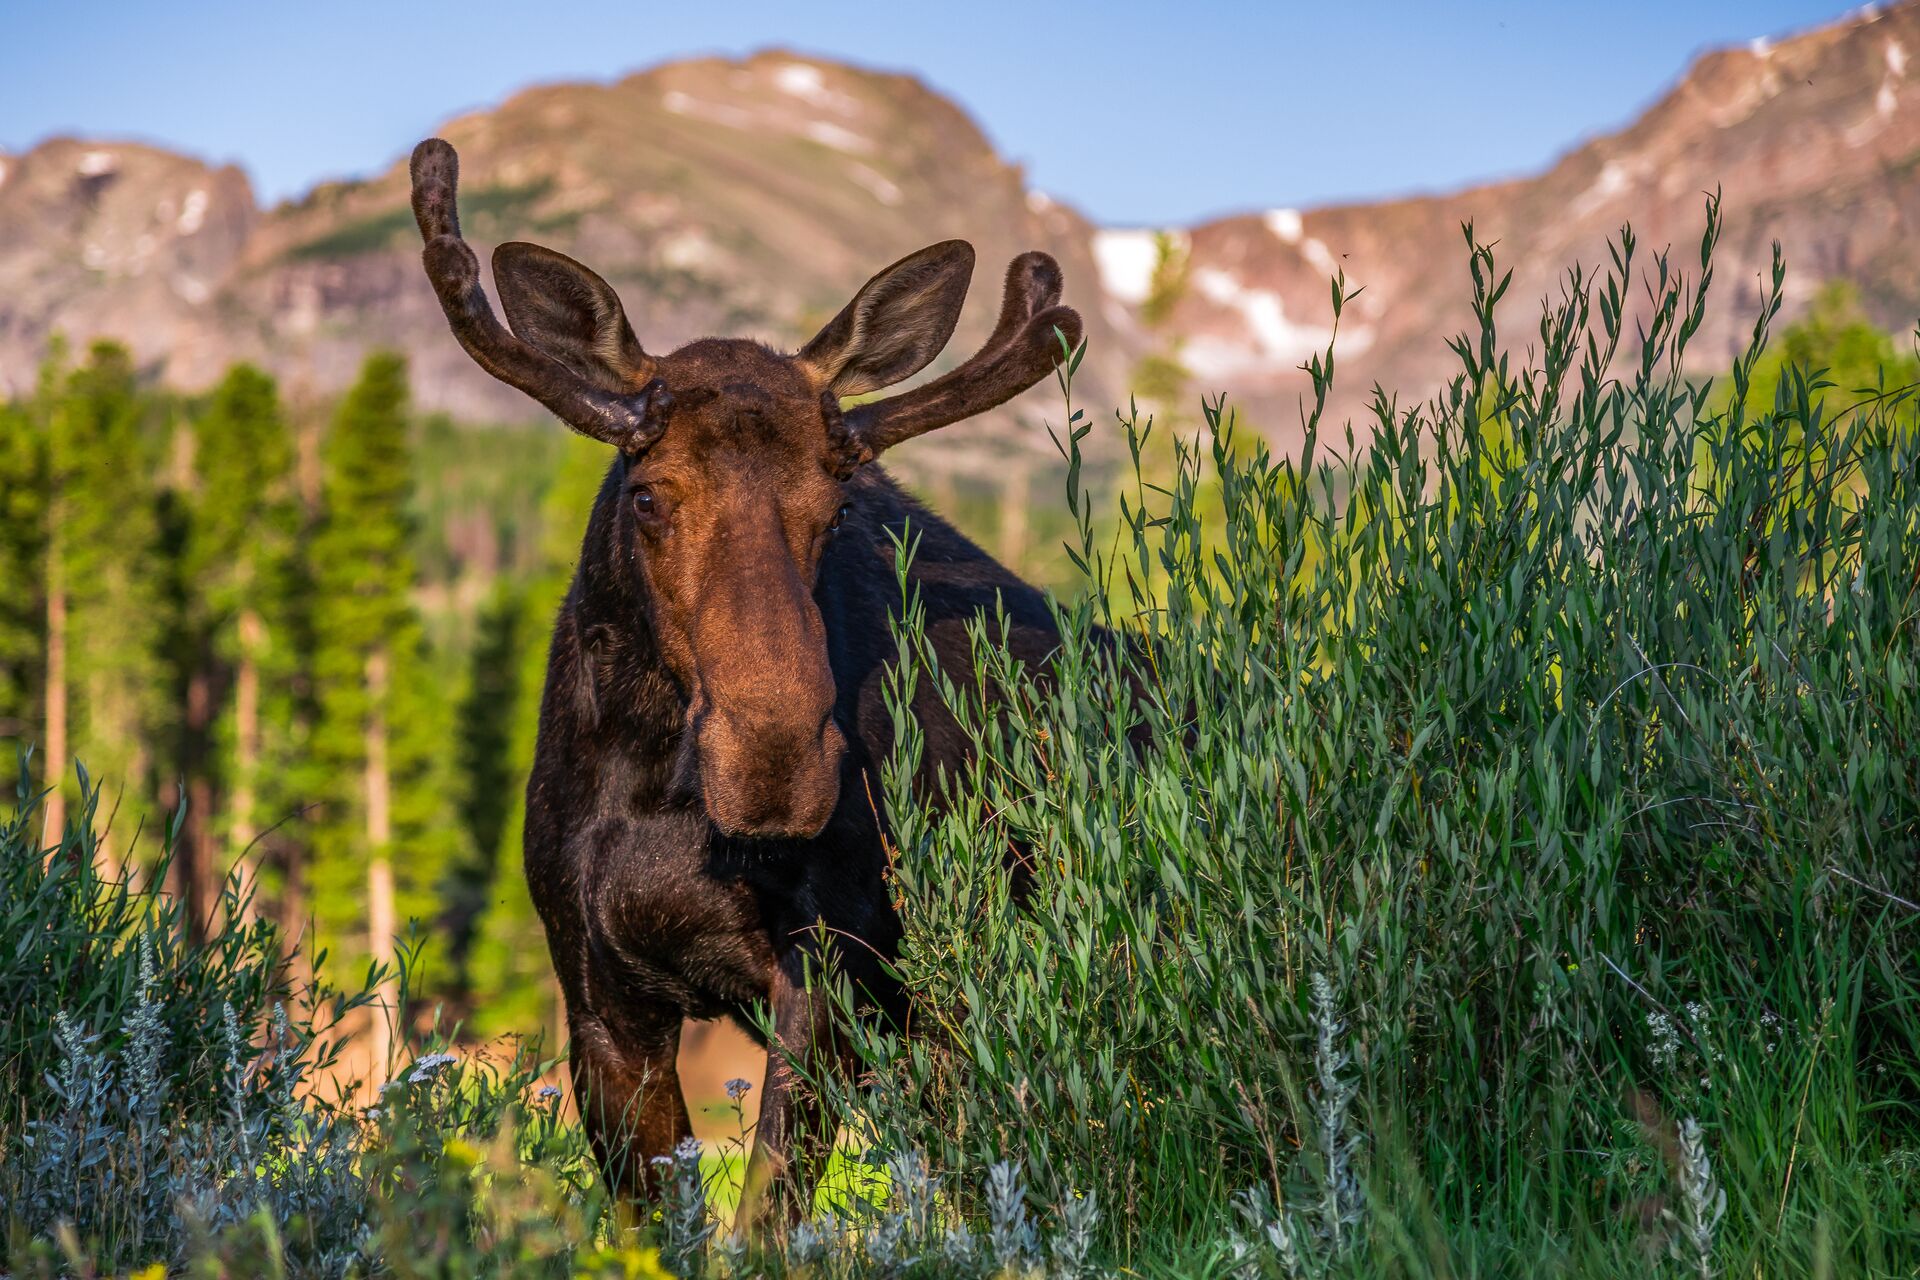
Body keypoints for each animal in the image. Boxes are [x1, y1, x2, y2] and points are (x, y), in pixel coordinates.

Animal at [407, 138, 1084, 1226]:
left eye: (837, 502)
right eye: (648, 493)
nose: (773, 763)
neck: (656, 790)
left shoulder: (842, 969)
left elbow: (764, 1222)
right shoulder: (599, 994)